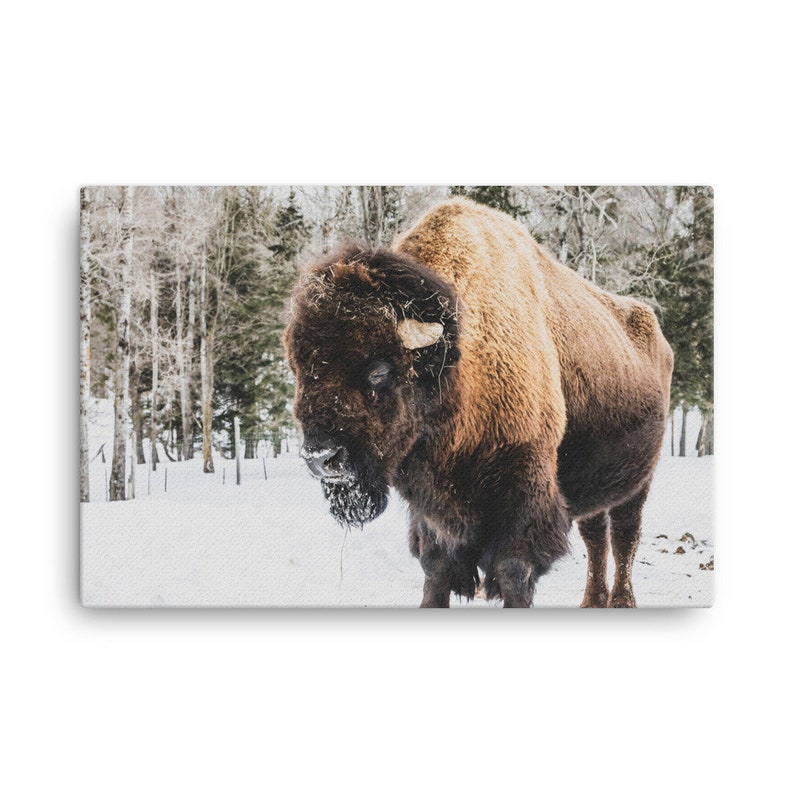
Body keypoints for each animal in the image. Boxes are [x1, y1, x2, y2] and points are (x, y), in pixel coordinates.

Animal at [284, 198, 673, 607]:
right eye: (298, 369)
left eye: (379, 370)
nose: (321, 458)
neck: (456, 364)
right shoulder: (430, 508)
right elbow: (435, 566)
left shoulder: (524, 488)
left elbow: (513, 569)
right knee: (595, 535)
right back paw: (592, 600)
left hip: (639, 482)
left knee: (625, 536)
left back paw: (622, 600)